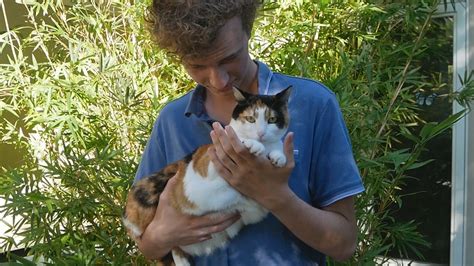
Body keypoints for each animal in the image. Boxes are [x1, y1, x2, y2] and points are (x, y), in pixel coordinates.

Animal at [122, 86, 290, 264]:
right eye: (250, 119)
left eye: (272, 119)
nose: (260, 134)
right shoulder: (204, 167)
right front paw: (252, 145)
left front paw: (278, 156)